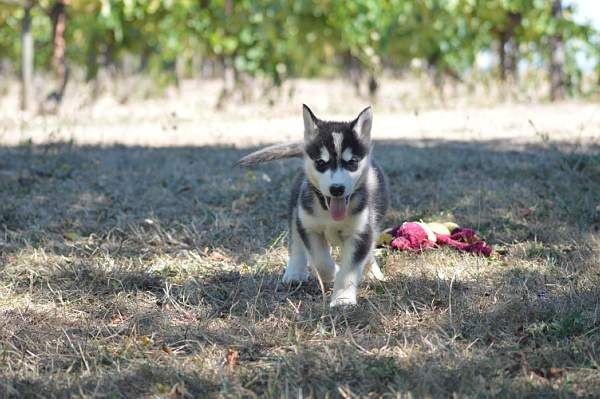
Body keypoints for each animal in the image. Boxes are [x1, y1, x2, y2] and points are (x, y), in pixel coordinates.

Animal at [238, 105, 390, 306]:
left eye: (352, 162)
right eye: (320, 163)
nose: (337, 189)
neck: (329, 212)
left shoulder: (361, 232)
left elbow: (350, 269)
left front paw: (343, 299)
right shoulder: (309, 227)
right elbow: (320, 260)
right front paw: (333, 272)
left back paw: (373, 273)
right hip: (296, 211)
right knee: (296, 245)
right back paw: (295, 272)